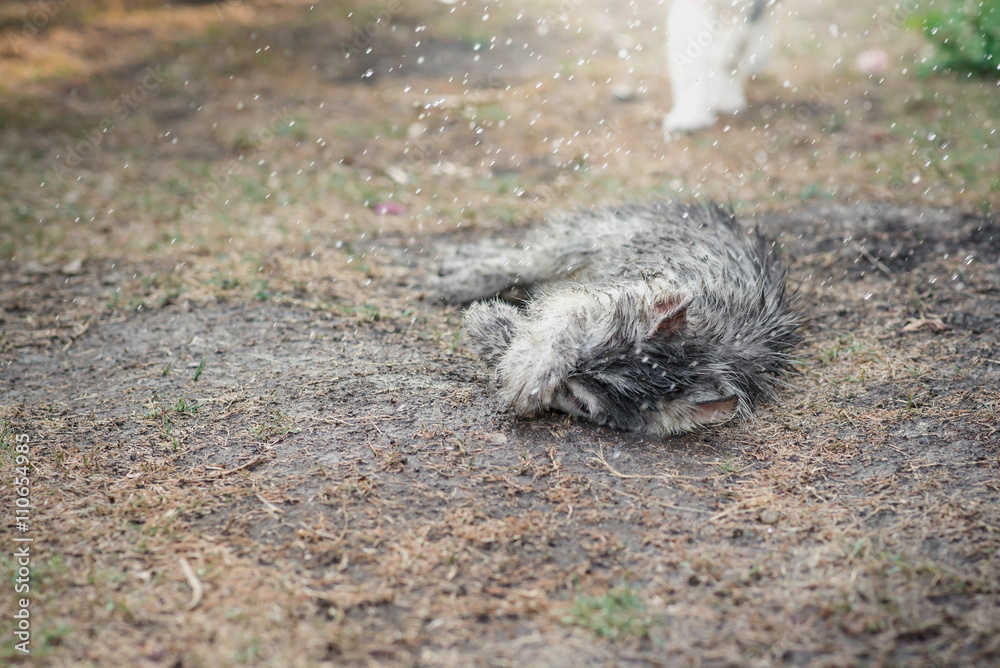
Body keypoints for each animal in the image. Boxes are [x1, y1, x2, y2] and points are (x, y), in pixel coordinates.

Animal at [434, 201, 800, 436]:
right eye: (582, 345)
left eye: (576, 400)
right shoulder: (598, 295)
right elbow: (559, 320)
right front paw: (529, 364)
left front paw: (494, 328)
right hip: (591, 237)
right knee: (526, 258)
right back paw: (467, 271)